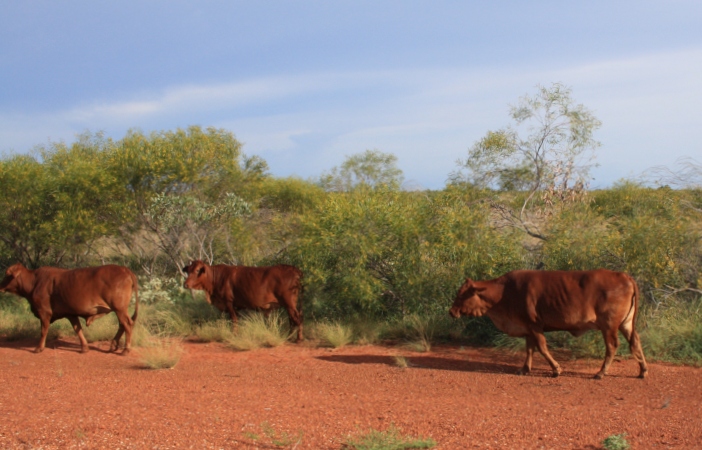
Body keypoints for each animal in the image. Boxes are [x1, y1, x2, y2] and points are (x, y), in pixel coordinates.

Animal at [0, 263, 139, 355]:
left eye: (6, 275)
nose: (0, 285)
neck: (34, 282)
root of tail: (124, 269)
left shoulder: (44, 313)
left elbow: (43, 331)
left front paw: (39, 348)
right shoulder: (70, 314)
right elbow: (78, 329)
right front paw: (84, 348)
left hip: (119, 309)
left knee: (127, 324)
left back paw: (126, 349)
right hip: (119, 310)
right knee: (122, 325)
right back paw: (113, 345)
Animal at [449, 269, 648, 379]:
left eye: (462, 295)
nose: (451, 311)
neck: (504, 292)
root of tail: (625, 277)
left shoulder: (535, 326)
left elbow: (542, 348)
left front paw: (556, 369)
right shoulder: (527, 328)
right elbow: (529, 349)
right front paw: (524, 369)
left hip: (609, 326)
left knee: (612, 346)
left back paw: (600, 373)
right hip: (626, 324)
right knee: (636, 342)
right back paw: (643, 371)